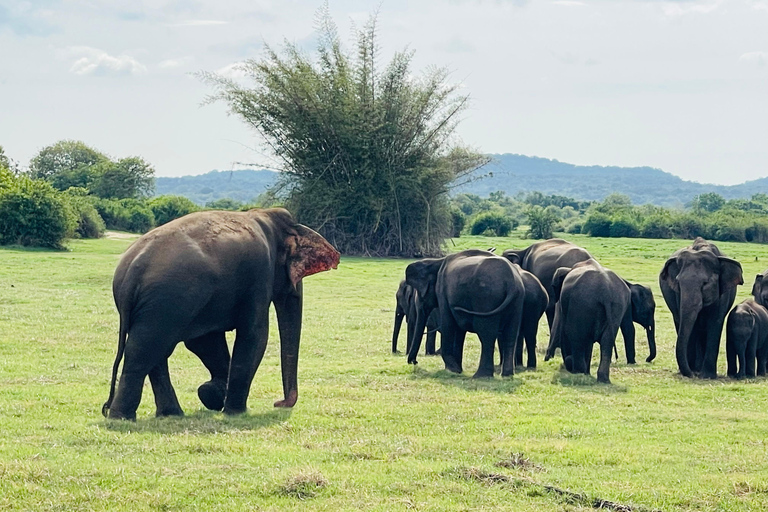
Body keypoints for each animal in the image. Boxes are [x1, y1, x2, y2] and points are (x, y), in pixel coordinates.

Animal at [102, 208, 340, 420]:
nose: (278, 403)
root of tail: (130, 274)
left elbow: (205, 342)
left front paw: (213, 394)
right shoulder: (259, 275)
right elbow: (254, 336)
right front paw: (234, 411)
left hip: (158, 306)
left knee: (154, 351)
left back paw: (169, 414)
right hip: (166, 301)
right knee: (144, 350)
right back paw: (123, 417)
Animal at [405, 249, 525, 378]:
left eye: (419, 294)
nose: (414, 362)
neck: (436, 262)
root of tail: (512, 283)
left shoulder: (443, 292)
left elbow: (448, 324)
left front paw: (452, 369)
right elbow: (459, 330)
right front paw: (457, 370)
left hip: (486, 299)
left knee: (486, 335)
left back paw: (480, 376)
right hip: (517, 301)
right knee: (511, 334)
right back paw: (507, 375)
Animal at [660, 237, 743, 379]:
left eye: (705, 283)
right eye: (679, 283)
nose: (691, 375)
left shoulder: (721, 294)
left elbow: (715, 322)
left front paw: (707, 376)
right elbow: (691, 326)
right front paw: (693, 372)